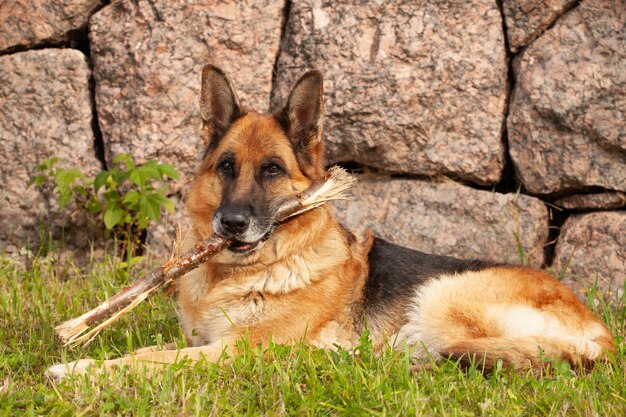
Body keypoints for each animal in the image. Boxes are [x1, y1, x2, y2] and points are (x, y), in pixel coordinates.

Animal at [46, 64, 612, 376]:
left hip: (443, 293)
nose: (230, 224)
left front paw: (77, 370)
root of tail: (601, 334)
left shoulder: (241, 349)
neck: (247, 272)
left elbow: (151, 361)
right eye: (226, 167)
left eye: (272, 170)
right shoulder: (204, 343)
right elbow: (154, 349)